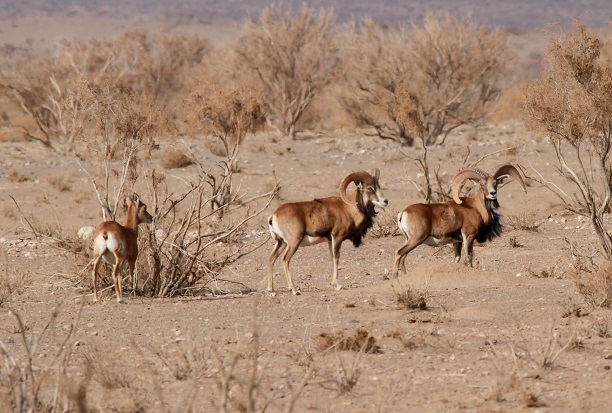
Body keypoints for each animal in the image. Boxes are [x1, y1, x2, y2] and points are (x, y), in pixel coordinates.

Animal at [392, 164, 524, 276]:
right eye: (482, 184)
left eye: (495, 183)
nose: (493, 193)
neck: (475, 207)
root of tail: (404, 213)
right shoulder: (469, 236)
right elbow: (469, 256)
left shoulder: (457, 242)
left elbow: (457, 259)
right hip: (416, 239)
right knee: (399, 253)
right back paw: (394, 276)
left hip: (411, 240)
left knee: (403, 257)